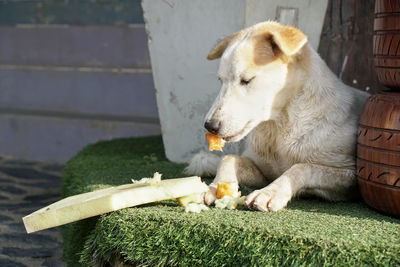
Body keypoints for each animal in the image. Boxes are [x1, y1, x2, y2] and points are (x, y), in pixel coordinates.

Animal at [184, 21, 368, 214]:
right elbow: (228, 159)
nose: (209, 126)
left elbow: (301, 167)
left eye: (246, 80)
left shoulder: (350, 176)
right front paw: (216, 186)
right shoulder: (263, 172)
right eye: (221, 81)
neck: (280, 127)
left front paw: (270, 192)